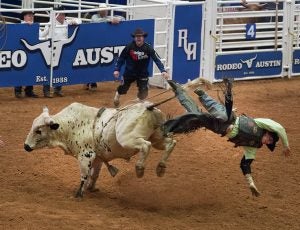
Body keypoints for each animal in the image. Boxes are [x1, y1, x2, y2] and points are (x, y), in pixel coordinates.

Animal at [25, 102, 178, 198]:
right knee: (171, 143)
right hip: (158, 138)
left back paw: (140, 168)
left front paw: (79, 193)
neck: (71, 125)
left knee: (146, 145)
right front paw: (90, 188)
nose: (26, 146)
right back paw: (161, 167)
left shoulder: (85, 156)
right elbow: (94, 174)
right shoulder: (97, 158)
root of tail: (148, 107)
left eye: (38, 130)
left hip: (128, 139)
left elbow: (84, 175)